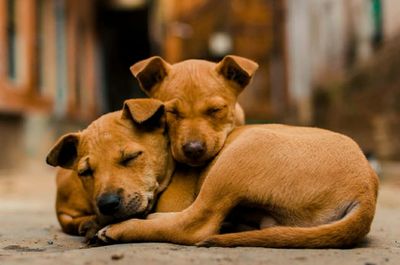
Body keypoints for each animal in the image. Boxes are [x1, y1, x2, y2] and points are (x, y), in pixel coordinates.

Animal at [46, 98, 173, 238]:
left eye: (131, 157)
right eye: (85, 172)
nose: (108, 204)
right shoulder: (63, 211)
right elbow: (70, 222)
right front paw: (90, 224)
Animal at [98, 121, 380, 248]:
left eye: (131, 158)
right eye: (89, 171)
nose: (106, 203)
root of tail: (366, 187)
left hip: (239, 156)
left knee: (195, 225)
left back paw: (121, 229)